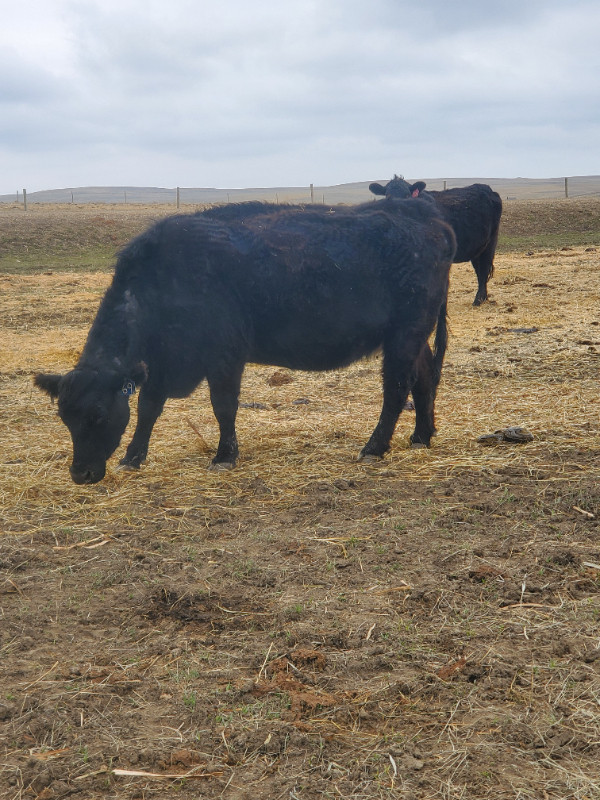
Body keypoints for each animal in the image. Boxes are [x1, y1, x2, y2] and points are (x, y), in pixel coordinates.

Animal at [34, 198, 454, 488]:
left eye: (97, 415)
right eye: (64, 417)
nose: (80, 474)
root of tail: (423, 214)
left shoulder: (224, 354)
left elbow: (223, 406)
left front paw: (224, 456)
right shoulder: (161, 362)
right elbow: (148, 408)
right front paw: (133, 457)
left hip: (405, 333)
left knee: (397, 388)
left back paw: (374, 448)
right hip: (413, 337)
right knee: (424, 378)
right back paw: (421, 437)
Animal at [370, 176, 502, 306]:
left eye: (407, 195)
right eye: (387, 195)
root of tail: (488, 189)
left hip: (490, 242)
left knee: (484, 270)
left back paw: (478, 300)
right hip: (477, 248)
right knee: (479, 271)